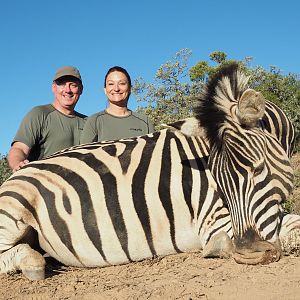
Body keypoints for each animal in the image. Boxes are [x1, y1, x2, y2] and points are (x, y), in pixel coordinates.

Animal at [0, 62, 298, 280]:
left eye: (257, 169)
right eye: (219, 183)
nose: (249, 254)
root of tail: (14, 175)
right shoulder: (213, 221)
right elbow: (289, 230)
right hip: (13, 209)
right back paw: (32, 263)